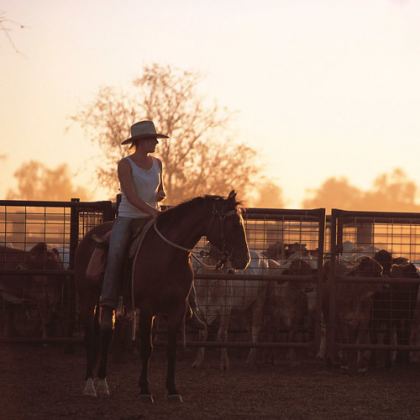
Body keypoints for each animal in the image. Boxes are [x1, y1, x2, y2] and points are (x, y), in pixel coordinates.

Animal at [74, 190, 249, 400]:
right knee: (90, 336)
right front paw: (144, 390)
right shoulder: (147, 308)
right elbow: (147, 349)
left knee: (106, 333)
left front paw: (172, 390)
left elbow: (171, 349)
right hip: (88, 299)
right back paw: (89, 385)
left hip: (110, 302)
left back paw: (102, 383)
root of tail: (88, 237)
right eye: (234, 224)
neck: (168, 256)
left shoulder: (176, 309)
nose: (244, 259)